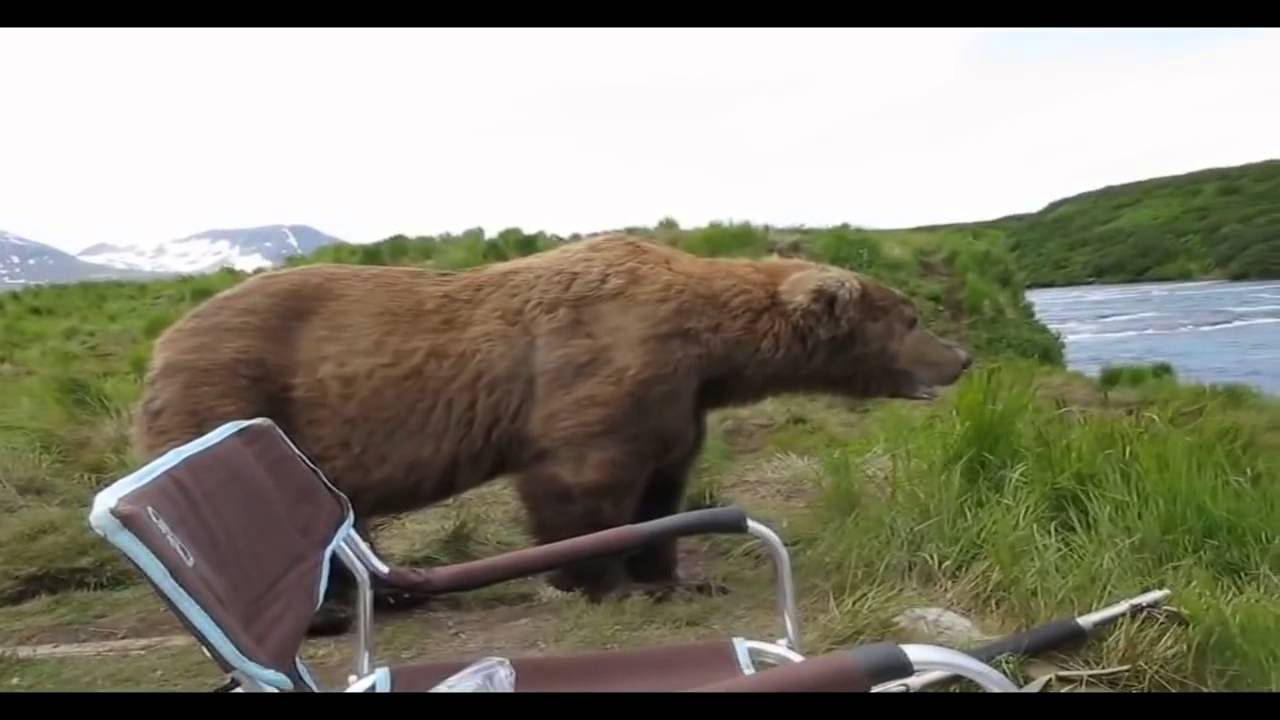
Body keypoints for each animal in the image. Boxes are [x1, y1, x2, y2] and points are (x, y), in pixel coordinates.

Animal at [129, 234, 973, 636]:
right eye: (910, 316)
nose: (962, 357)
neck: (709, 348)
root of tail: (162, 343)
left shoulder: (677, 401)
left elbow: (664, 486)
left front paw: (678, 576)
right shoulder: (602, 366)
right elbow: (583, 481)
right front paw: (600, 582)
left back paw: (385, 593)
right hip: (235, 397)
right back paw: (330, 613)